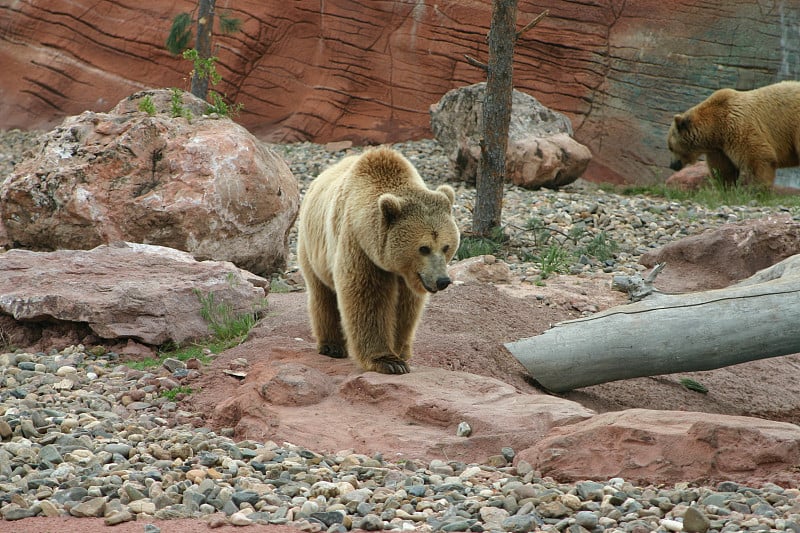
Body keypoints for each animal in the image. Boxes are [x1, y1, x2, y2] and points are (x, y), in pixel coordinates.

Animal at [296, 145, 460, 374]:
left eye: (446, 246)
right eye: (424, 248)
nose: (442, 280)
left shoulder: (408, 275)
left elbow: (406, 308)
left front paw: (399, 351)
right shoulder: (359, 247)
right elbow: (367, 297)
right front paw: (388, 361)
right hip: (312, 248)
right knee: (321, 293)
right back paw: (331, 346)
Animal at [664, 79, 800, 187]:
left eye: (670, 147)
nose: (672, 165)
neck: (714, 128)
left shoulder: (737, 127)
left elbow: (758, 158)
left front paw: (757, 189)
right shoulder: (719, 149)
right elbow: (723, 170)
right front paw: (725, 188)